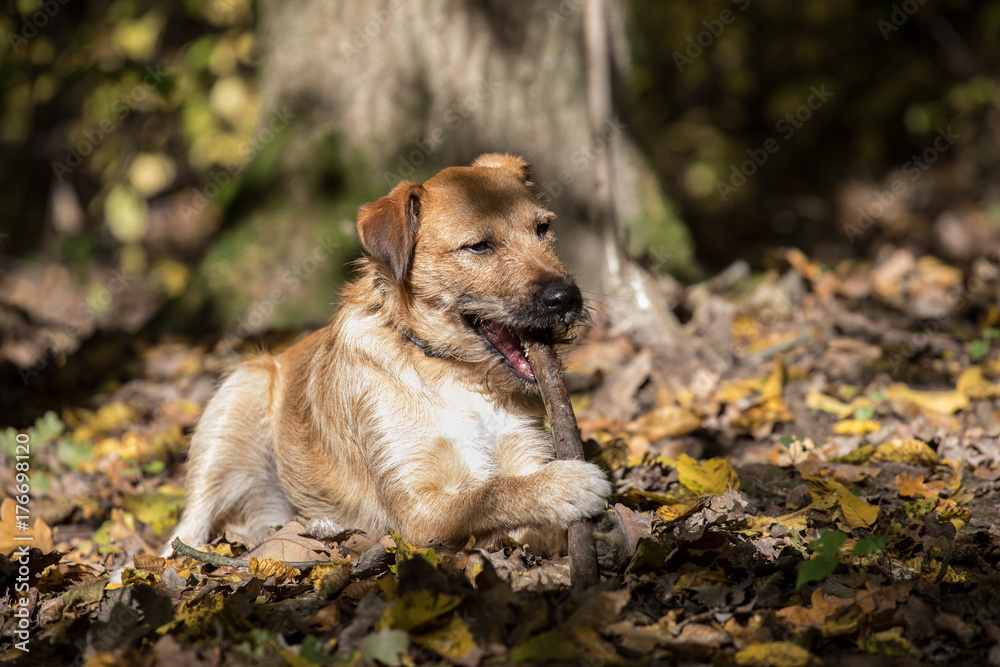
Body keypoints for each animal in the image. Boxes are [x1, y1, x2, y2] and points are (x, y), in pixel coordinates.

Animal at [166, 154, 608, 556]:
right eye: (479, 246)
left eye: (543, 228)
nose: (565, 296)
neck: (452, 373)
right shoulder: (416, 512)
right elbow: (488, 495)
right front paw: (566, 485)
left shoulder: (524, 451)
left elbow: (522, 508)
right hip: (236, 400)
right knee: (185, 531)